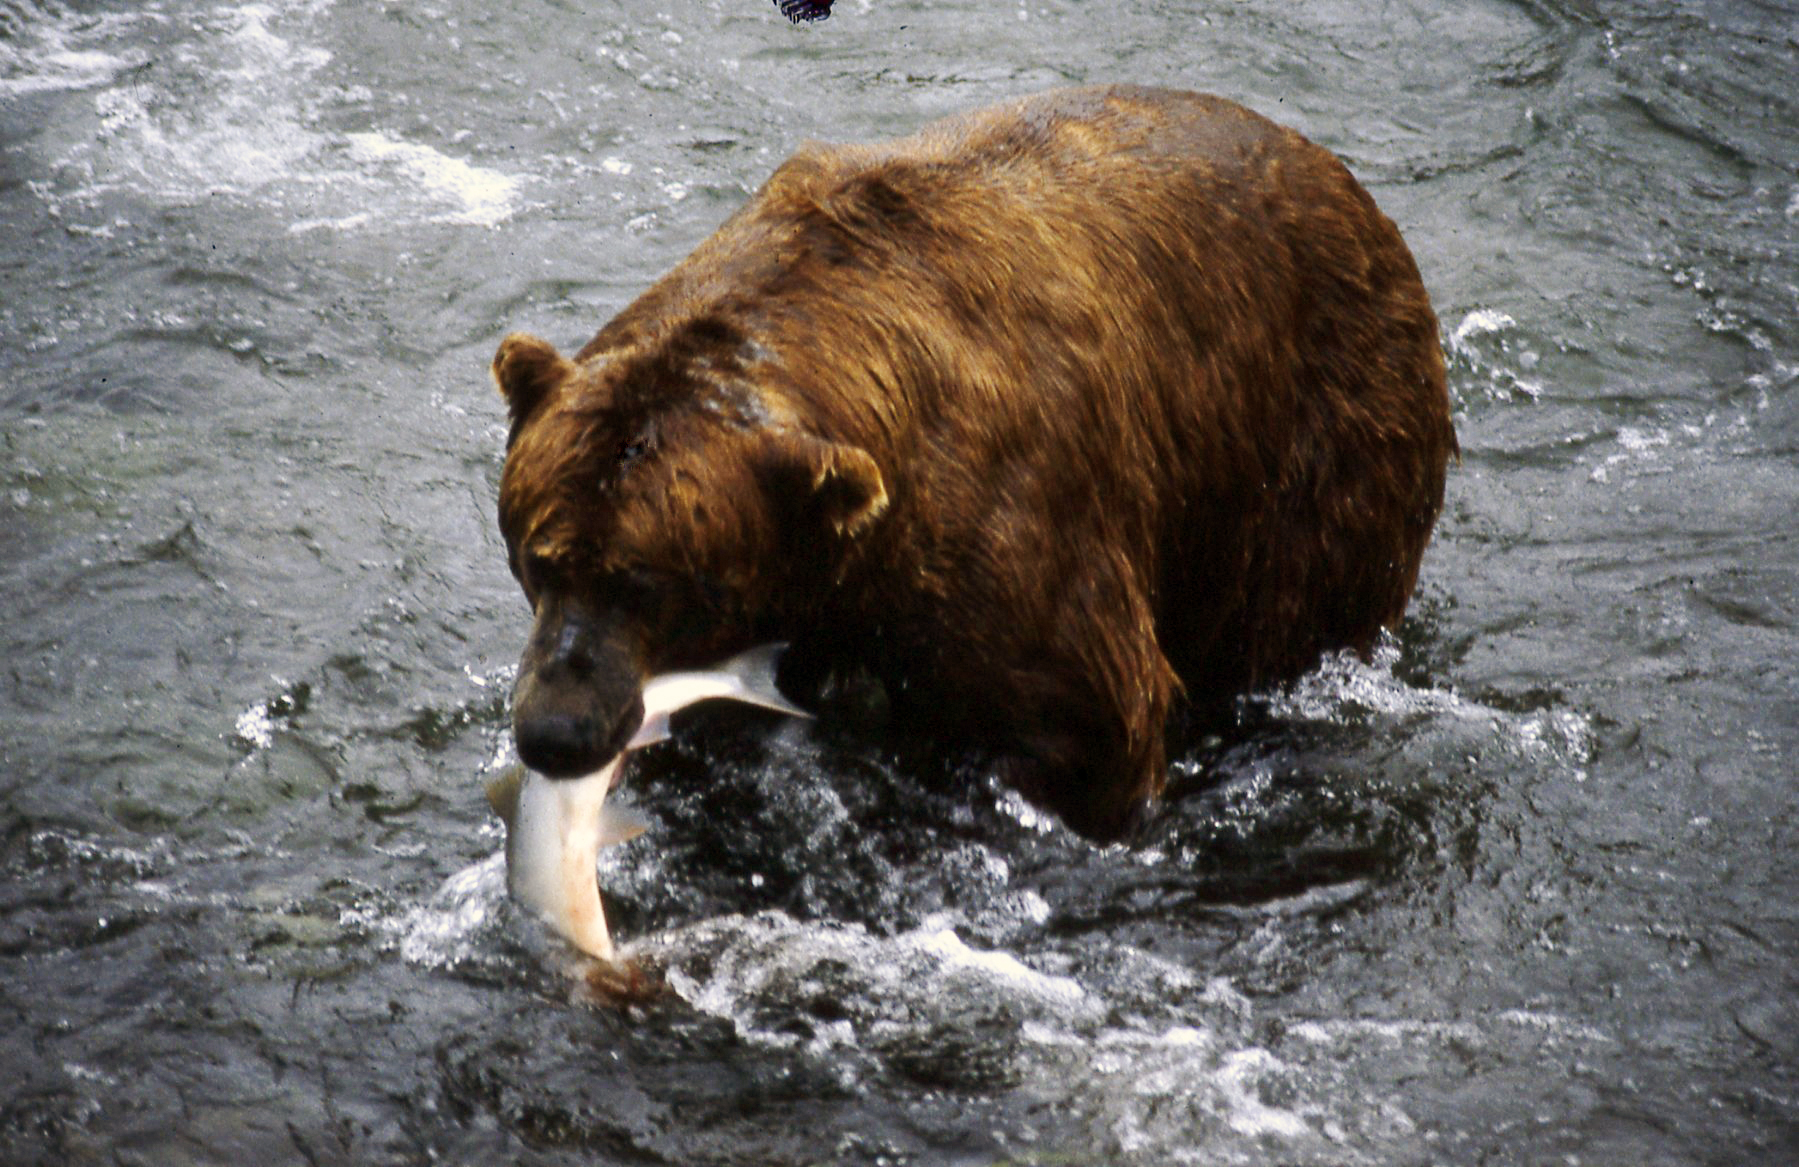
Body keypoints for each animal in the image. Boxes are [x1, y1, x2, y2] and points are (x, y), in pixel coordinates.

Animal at [490, 85, 1455, 841]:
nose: (555, 730)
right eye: (539, 557)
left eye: (647, 581)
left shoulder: (1016, 527)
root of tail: (1352, 190)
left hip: (1317, 452)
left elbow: (1082, 724)